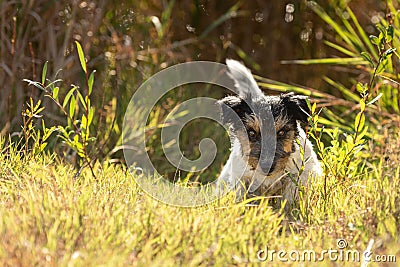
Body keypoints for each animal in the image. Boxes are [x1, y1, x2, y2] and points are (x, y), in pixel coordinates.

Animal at [216, 59, 322, 206]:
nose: (267, 166)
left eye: (281, 132)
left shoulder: (298, 176)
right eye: (251, 133)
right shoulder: (242, 179)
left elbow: (289, 200)